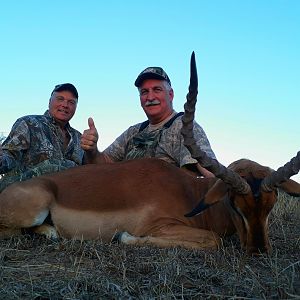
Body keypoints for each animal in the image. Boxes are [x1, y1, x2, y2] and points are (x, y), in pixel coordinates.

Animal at [0, 52, 300, 254]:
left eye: (272, 204)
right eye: (235, 203)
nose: (259, 252)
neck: (190, 194)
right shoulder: (159, 226)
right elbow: (212, 239)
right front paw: (123, 238)